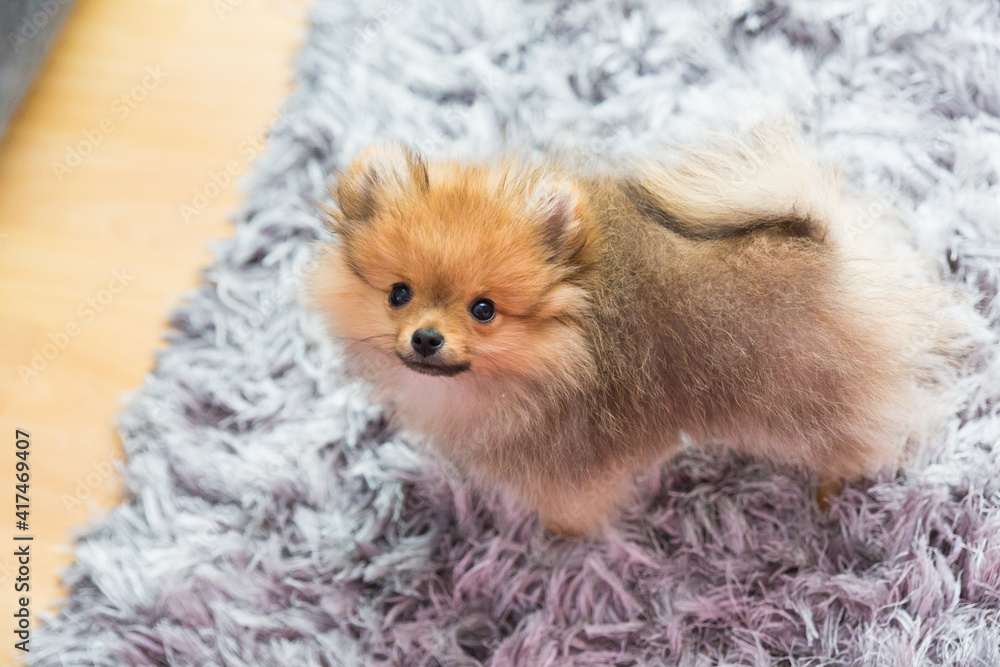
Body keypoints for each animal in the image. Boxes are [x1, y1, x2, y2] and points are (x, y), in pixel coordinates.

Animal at [308, 122, 972, 536]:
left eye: (484, 310)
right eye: (399, 294)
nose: (426, 338)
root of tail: (829, 253)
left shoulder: (568, 465)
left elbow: (571, 510)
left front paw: (559, 540)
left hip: (809, 400)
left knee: (862, 437)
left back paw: (834, 488)